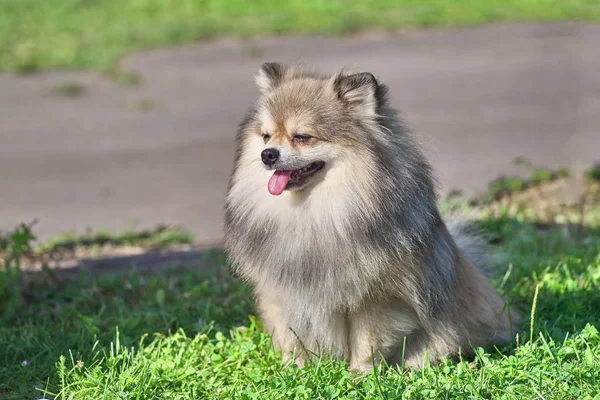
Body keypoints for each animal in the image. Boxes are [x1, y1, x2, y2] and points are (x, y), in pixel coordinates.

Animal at [224, 62, 516, 372]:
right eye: (266, 136)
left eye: (302, 137)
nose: (267, 154)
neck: (315, 210)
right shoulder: (283, 294)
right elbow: (291, 337)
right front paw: (293, 370)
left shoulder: (377, 299)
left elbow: (367, 342)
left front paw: (360, 374)